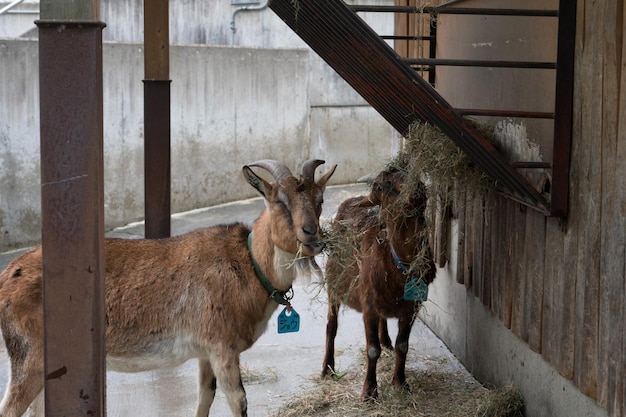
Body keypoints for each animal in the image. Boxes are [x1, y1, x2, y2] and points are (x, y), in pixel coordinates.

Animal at [0, 158, 336, 416]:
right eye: (280, 201)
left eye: (320, 199)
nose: (311, 234)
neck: (248, 263)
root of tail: (7, 277)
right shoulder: (222, 346)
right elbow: (238, 401)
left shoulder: (206, 352)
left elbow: (205, 398)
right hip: (29, 355)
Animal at [322, 166, 434, 400]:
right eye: (381, 187)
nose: (416, 191)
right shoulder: (368, 306)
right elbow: (372, 350)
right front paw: (369, 392)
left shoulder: (411, 307)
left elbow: (403, 345)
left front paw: (400, 382)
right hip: (333, 285)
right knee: (331, 325)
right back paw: (327, 368)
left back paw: (386, 340)